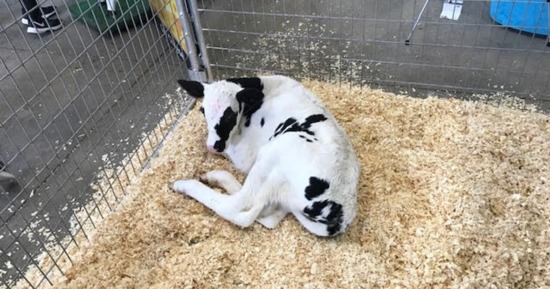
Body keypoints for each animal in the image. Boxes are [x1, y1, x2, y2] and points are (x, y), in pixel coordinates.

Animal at [174, 75, 362, 236]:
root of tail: (342, 214)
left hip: (274, 150)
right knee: (266, 213)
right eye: (202, 110)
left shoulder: (244, 154)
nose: (213, 146)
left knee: (237, 205)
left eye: (230, 115)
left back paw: (185, 184)